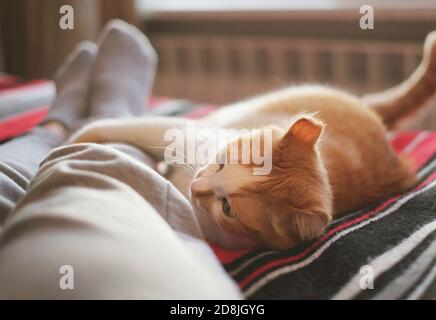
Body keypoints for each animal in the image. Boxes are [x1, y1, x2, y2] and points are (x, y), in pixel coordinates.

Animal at [70, 31, 436, 250]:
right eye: (221, 163)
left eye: (227, 208)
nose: (198, 187)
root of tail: (373, 114)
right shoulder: (182, 131)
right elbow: (108, 128)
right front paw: (76, 137)